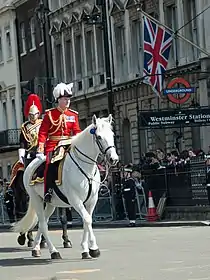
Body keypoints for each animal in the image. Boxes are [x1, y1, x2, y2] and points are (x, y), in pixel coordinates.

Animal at [12, 115, 119, 260]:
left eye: (112, 135)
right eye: (99, 137)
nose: (114, 159)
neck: (84, 166)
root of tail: (31, 164)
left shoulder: (92, 200)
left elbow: (87, 220)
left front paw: (86, 249)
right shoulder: (74, 199)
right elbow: (87, 219)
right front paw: (93, 248)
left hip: (50, 203)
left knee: (42, 222)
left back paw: (36, 248)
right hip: (35, 199)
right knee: (42, 223)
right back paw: (52, 251)